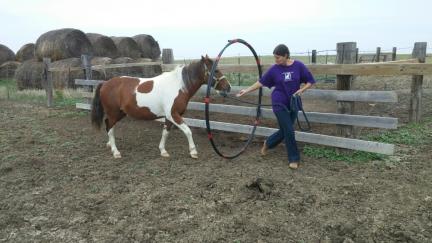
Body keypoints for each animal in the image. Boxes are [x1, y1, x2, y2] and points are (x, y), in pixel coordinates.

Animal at [91, 54, 231, 159]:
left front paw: (163, 151)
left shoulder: (169, 117)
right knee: (110, 128)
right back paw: (116, 152)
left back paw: (110, 145)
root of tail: (105, 83)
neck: (178, 86)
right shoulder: (173, 114)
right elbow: (187, 131)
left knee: (108, 125)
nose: (228, 87)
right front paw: (193, 152)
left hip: (120, 113)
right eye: (216, 70)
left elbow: (165, 133)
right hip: (113, 113)